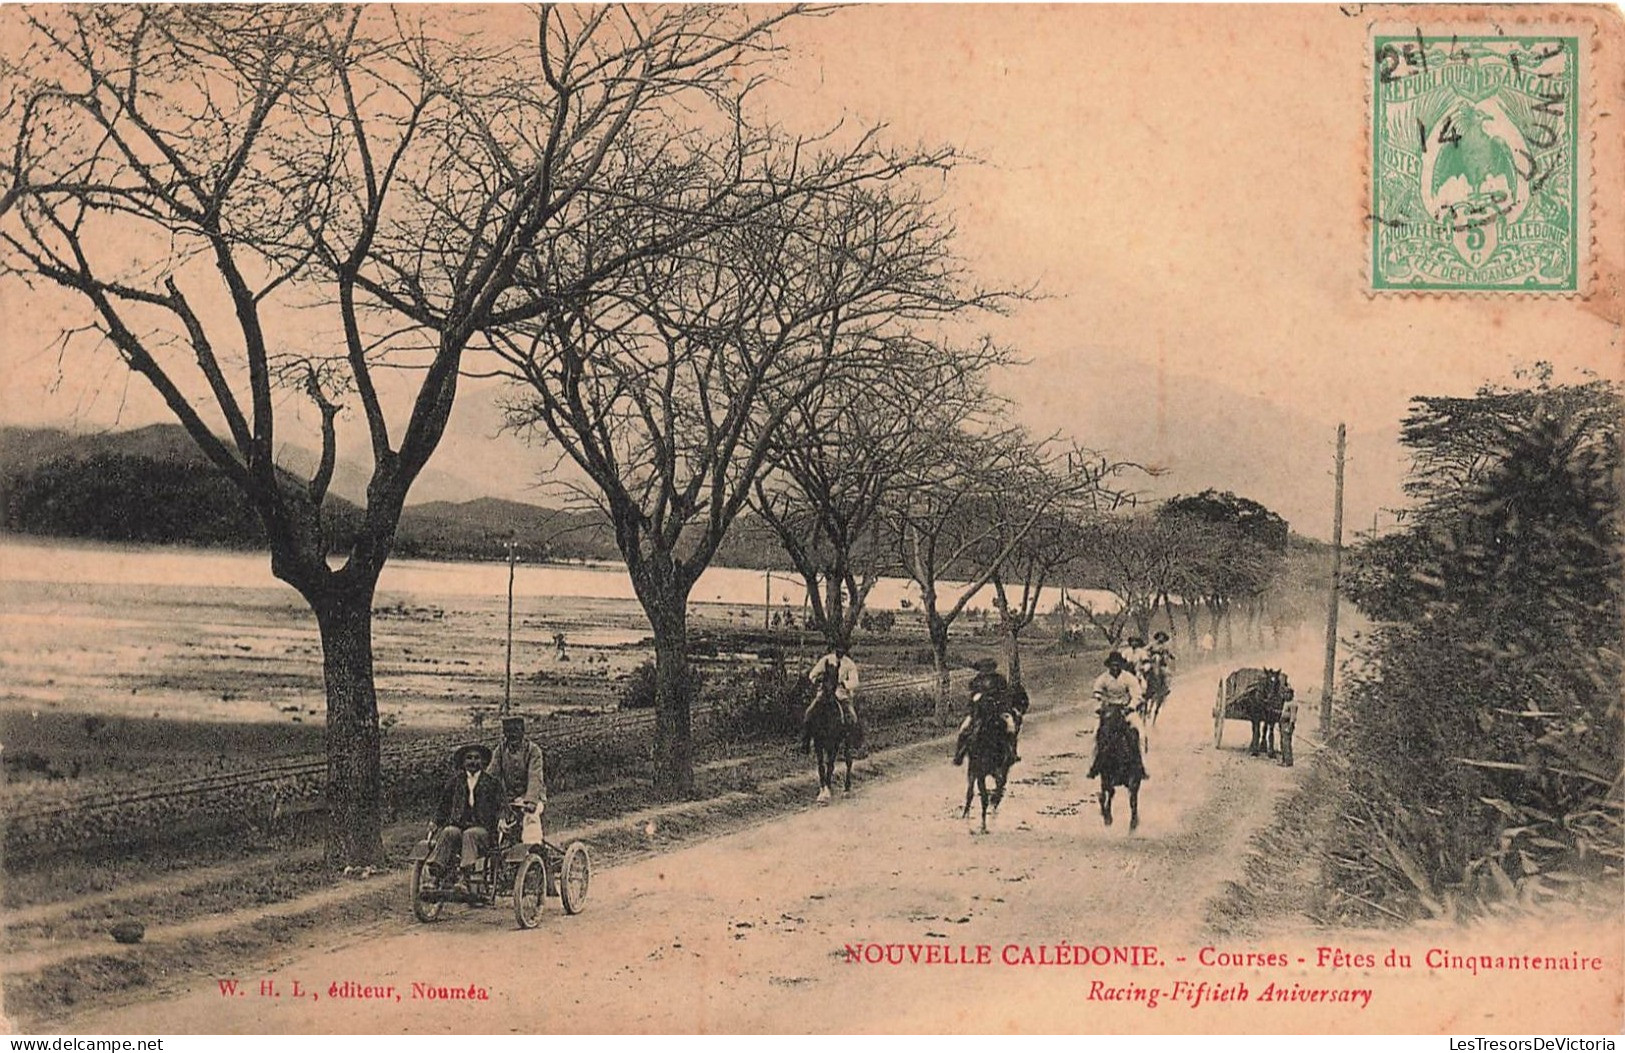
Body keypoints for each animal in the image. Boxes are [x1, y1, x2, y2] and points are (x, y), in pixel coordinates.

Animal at [955, 695, 1007, 832]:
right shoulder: (979, 774)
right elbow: (982, 797)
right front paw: (983, 824)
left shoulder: (998, 771)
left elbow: (999, 786)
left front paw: (994, 802)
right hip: (973, 771)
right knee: (970, 792)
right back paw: (966, 814)